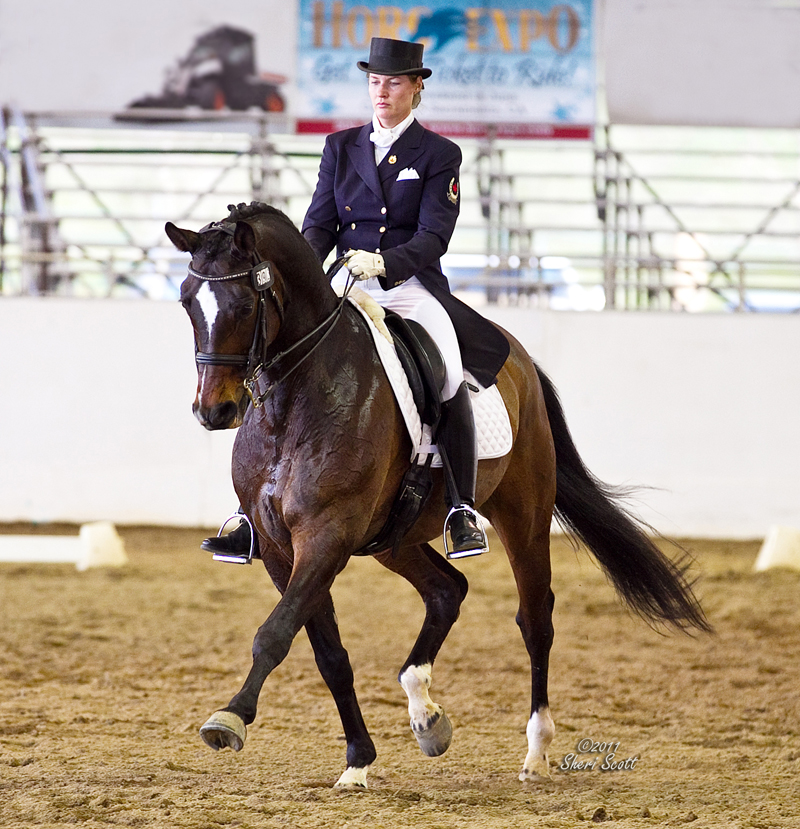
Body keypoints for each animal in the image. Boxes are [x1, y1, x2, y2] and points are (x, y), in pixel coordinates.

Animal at [165, 201, 709, 789]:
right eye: (187, 301)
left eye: (245, 303)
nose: (214, 411)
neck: (296, 401)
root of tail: (517, 357)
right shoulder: (278, 547)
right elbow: (327, 652)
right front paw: (357, 760)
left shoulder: (327, 536)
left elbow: (275, 632)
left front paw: (229, 719)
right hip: (394, 538)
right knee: (448, 590)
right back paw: (426, 715)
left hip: (523, 513)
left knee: (535, 618)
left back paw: (535, 751)